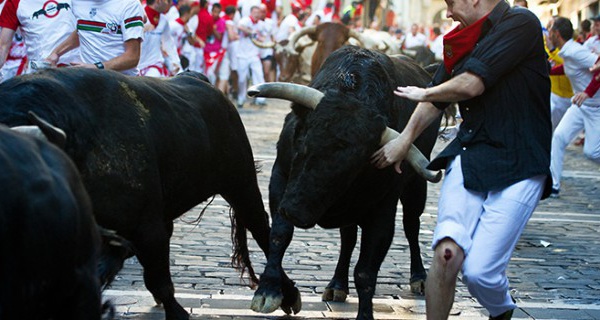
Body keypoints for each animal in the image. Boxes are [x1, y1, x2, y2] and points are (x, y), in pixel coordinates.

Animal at [245, 45, 440, 320]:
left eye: (354, 166)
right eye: (303, 142)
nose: (295, 212)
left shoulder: (382, 209)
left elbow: (366, 270)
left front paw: (365, 315)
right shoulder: (280, 178)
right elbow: (279, 235)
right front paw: (268, 292)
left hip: (415, 188)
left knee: (411, 226)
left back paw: (419, 277)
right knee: (348, 240)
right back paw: (336, 285)